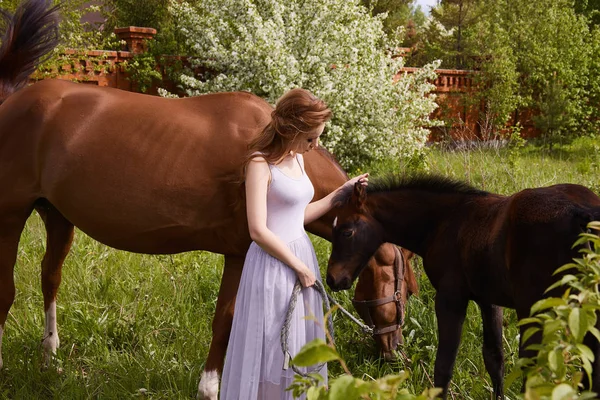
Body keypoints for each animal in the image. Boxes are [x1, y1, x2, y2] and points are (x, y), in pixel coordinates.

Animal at [0, 1, 418, 398]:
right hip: (11, 214)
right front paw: (210, 388)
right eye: (406, 289)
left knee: (50, 277)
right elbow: (226, 319)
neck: (269, 144)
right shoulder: (240, 251)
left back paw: (49, 357)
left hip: (57, 215)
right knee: (8, 289)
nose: (396, 353)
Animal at [328, 176, 600, 400]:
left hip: (534, 309)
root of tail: (582, 213)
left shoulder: (450, 298)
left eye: (347, 231)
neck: (443, 221)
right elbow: (494, 359)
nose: (332, 279)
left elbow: (444, 365)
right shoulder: (489, 300)